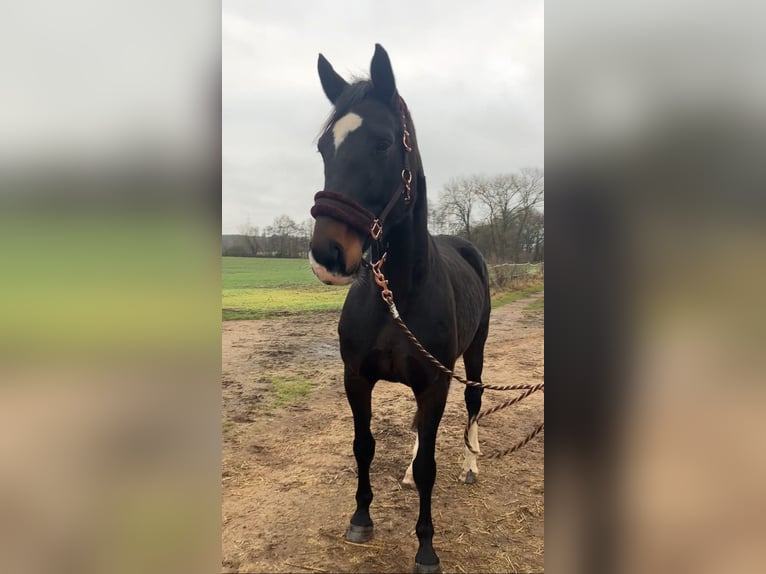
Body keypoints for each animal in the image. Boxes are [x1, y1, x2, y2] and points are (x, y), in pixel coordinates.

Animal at [308, 44, 491, 573]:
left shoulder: (434, 383)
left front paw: (426, 548)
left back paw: (471, 464)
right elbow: (363, 446)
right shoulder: (357, 377)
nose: (328, 255)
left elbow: (431, 463)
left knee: (474, 403)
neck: (397, 299)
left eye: (384, 143)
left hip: (473, 356)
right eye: (324, 147)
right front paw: (361, 519)